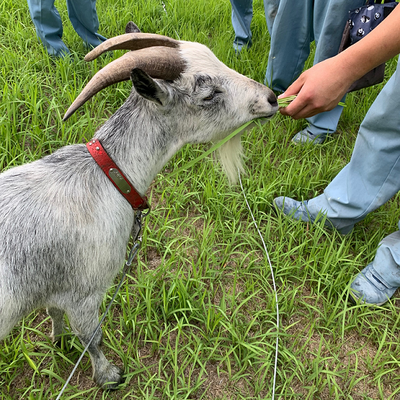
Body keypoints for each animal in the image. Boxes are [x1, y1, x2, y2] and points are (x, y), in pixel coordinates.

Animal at [0, 21, 278, 388]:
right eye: (209, 94)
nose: (272, 97)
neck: (107, 176)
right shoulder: (84, 293)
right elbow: (92, 336)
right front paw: (108, 375)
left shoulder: (56, 288)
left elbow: (53, 311)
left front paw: (58, 340)